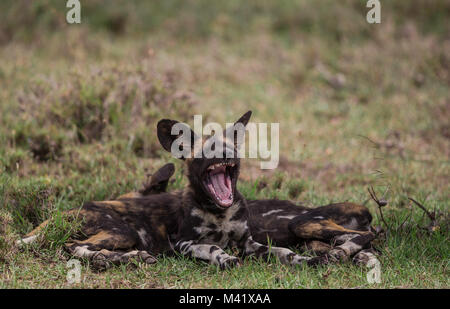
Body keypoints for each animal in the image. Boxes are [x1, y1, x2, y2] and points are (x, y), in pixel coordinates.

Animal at [18, 110, 324, 268]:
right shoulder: (183, 244)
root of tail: (62, 214)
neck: (220, 214)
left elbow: (281, 251)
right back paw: (122, 258)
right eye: (207, 151)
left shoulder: (246, 243)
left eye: (231, 148)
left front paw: (304, 258)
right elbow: (213, 247)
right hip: (122, 231)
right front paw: (224, 258)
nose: (226, 154)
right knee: (74, 247)